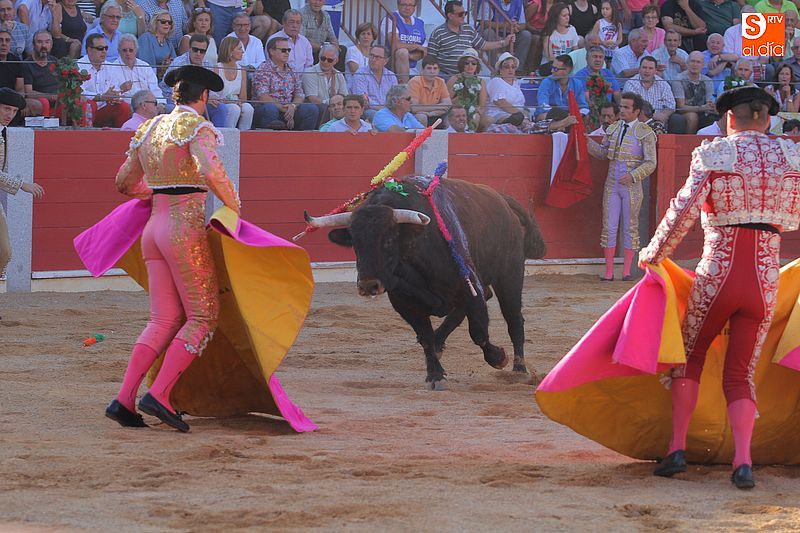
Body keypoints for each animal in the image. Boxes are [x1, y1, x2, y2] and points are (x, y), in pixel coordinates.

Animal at [304, 176, 546, 390]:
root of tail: (501, 200)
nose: (368, 285)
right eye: (355, 243)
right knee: (468, 309)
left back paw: (519, 369)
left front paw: (498, 357)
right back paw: (440, 343)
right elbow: (425, 337)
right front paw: (435, 376)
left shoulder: (470, 286)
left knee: (514, 320)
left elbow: (478, 331)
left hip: (510, 275)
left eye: (389, 240)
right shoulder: (405, 303)